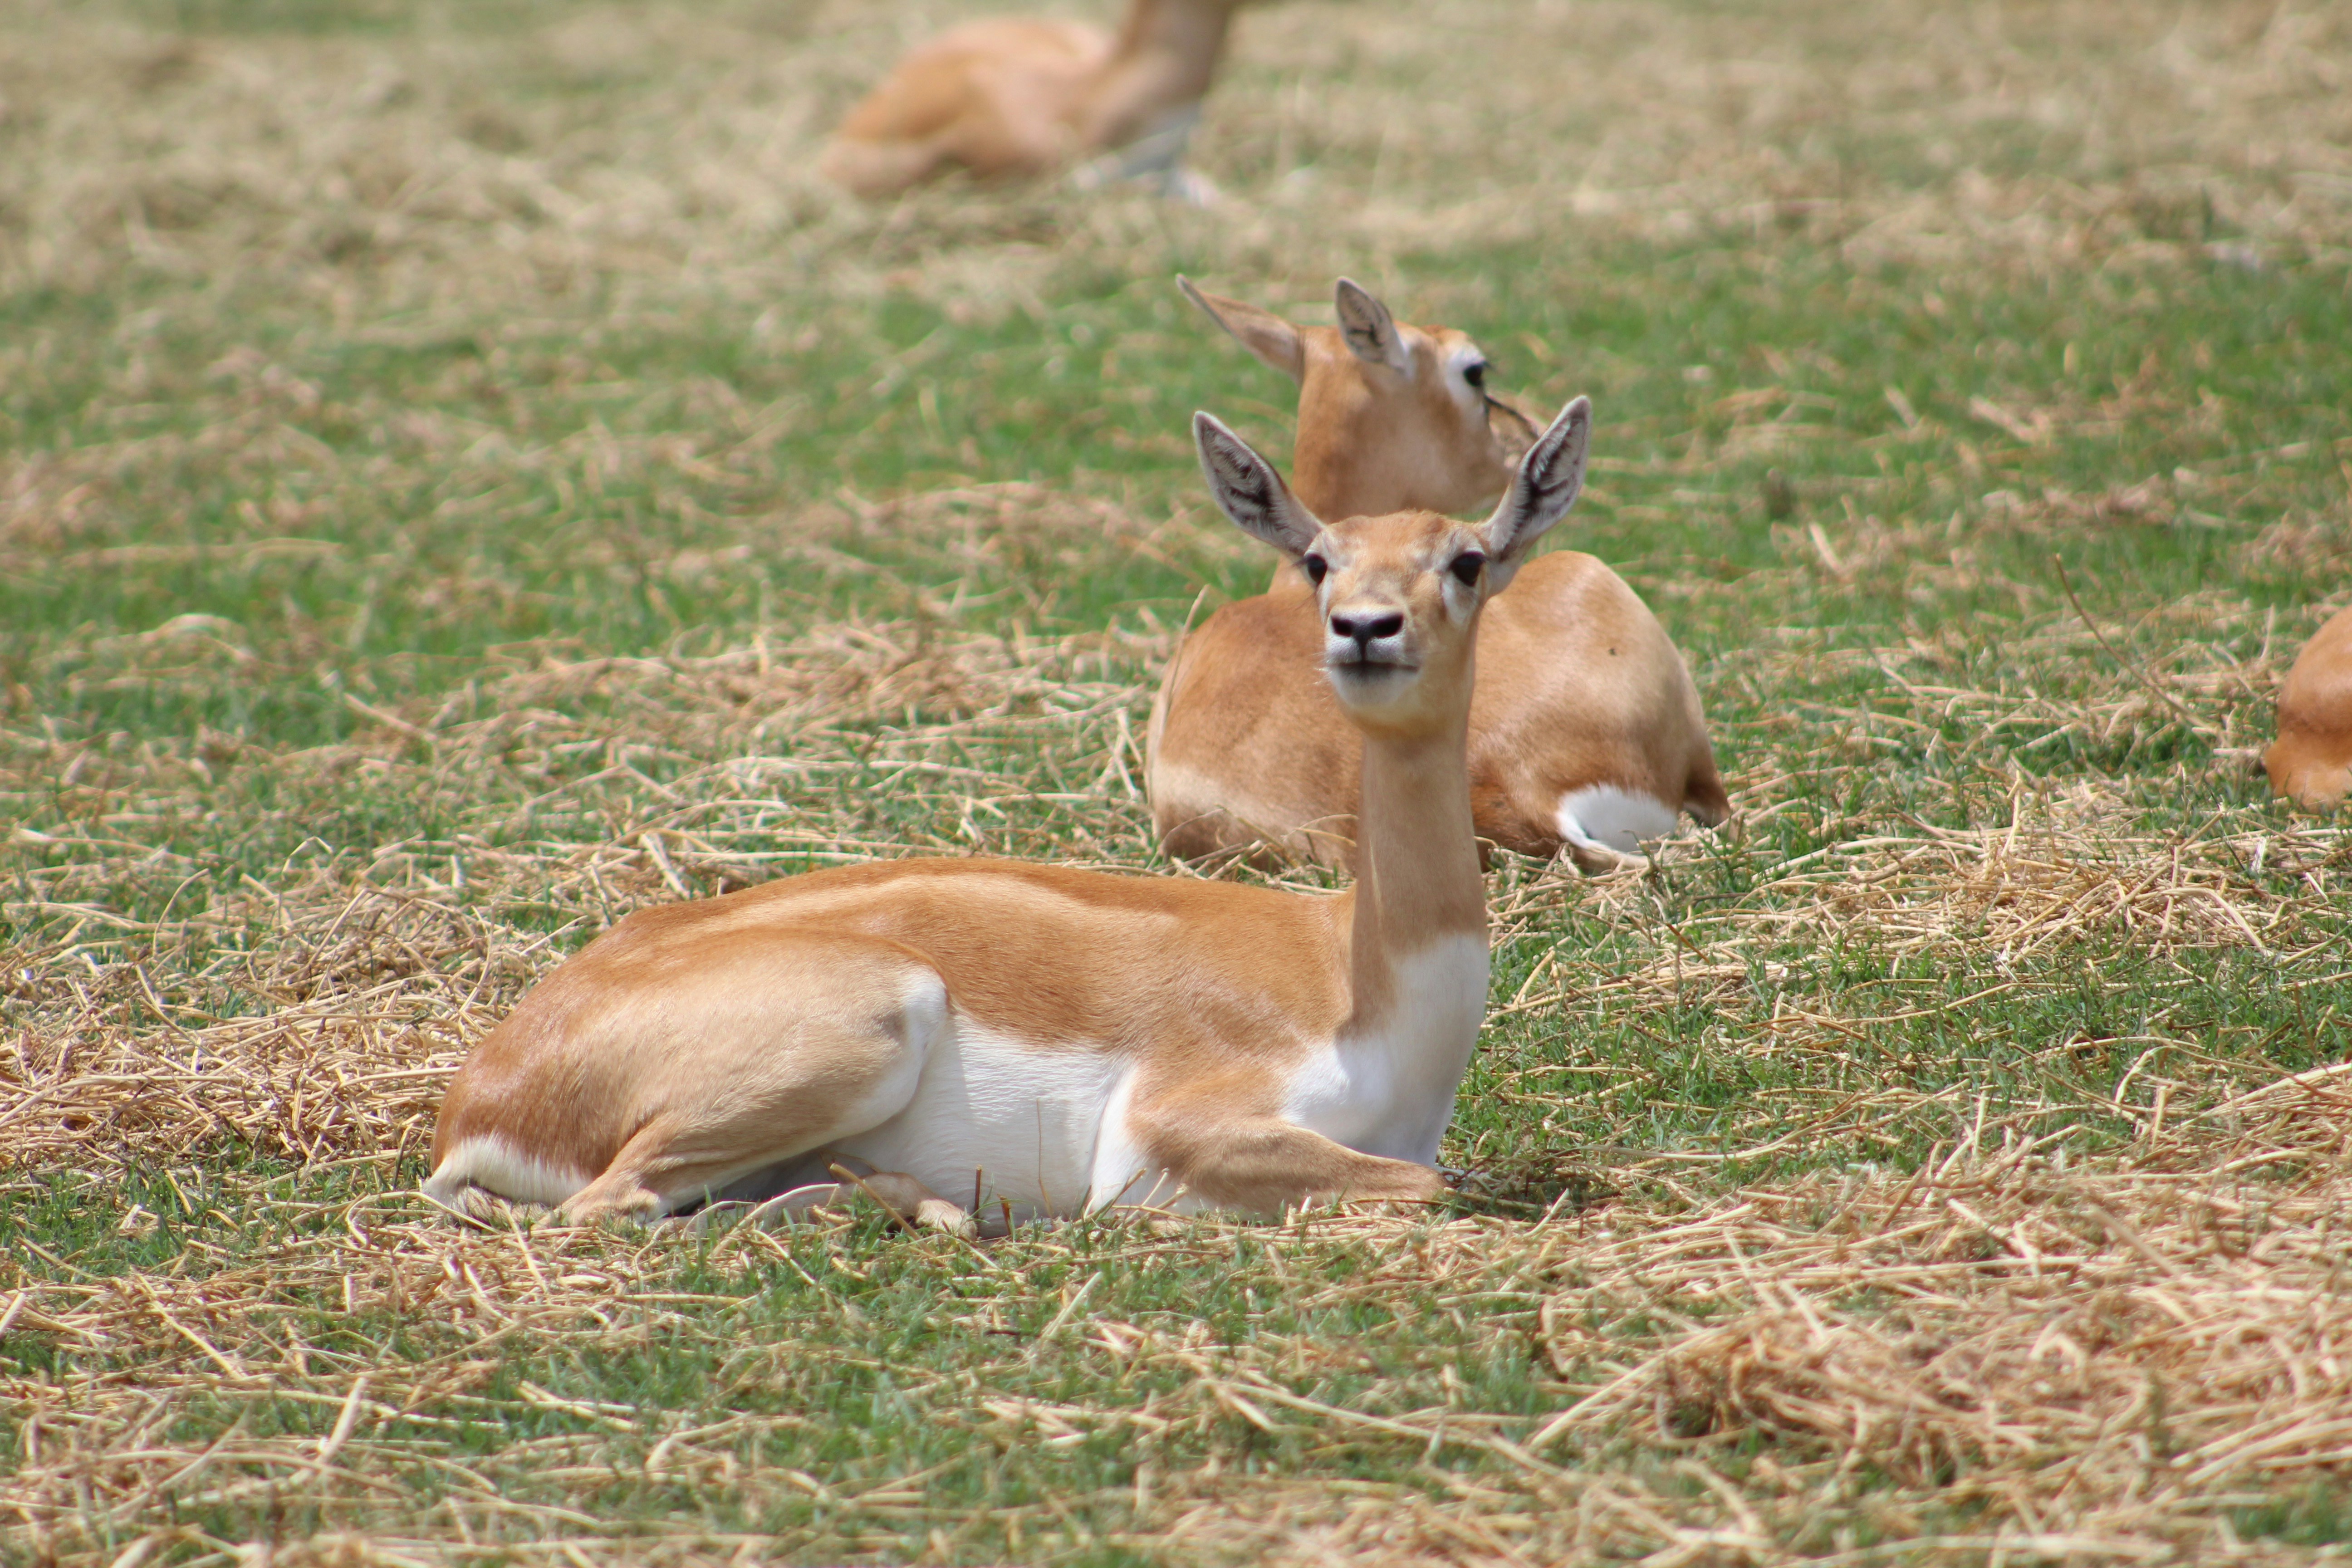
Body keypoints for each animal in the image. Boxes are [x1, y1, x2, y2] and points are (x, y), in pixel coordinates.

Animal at [422, 395, 1597, 1234]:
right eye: (1318, 560)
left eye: (1467, 558)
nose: (1365, 628)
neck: (1361, 976)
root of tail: (481, 1093)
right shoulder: (1173, 1128)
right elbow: (1435, 1186)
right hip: (870, 1021)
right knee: (610, 1209)